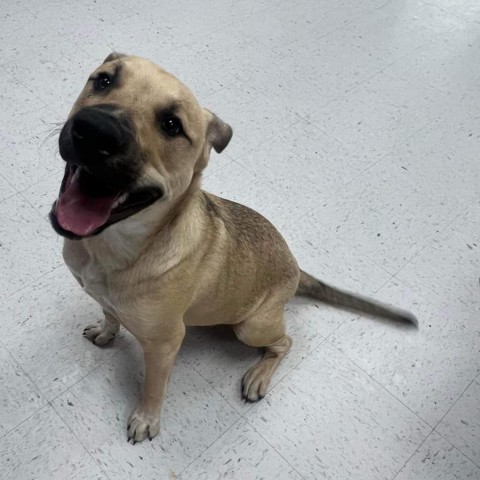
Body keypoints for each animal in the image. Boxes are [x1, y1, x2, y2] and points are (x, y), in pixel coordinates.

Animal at [48, 52, 416, 442]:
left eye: (171, 125)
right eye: (103, 81)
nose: (94, 131)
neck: (112, 249)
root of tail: (296, 268)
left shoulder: (165, 344)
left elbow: (154, 387)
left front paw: (147, 419)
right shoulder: (104, 298)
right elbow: (110, 314)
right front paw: (106, 332)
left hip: (250, 326)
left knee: (285, 343)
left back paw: (258, 376)